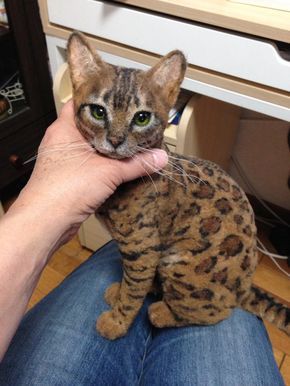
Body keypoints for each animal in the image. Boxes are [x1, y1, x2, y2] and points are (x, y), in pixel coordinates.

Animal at [66, 33, 290, 340]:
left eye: (142, 118)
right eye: (98, 112)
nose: (115, 140)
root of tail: (245, 286)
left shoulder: (143, 248)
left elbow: (133, 293)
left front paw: (117, 322)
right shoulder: (139, 252)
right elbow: (130, 282)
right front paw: (120, 294)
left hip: (180, 264)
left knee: (217, 310)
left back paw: (161, 311)